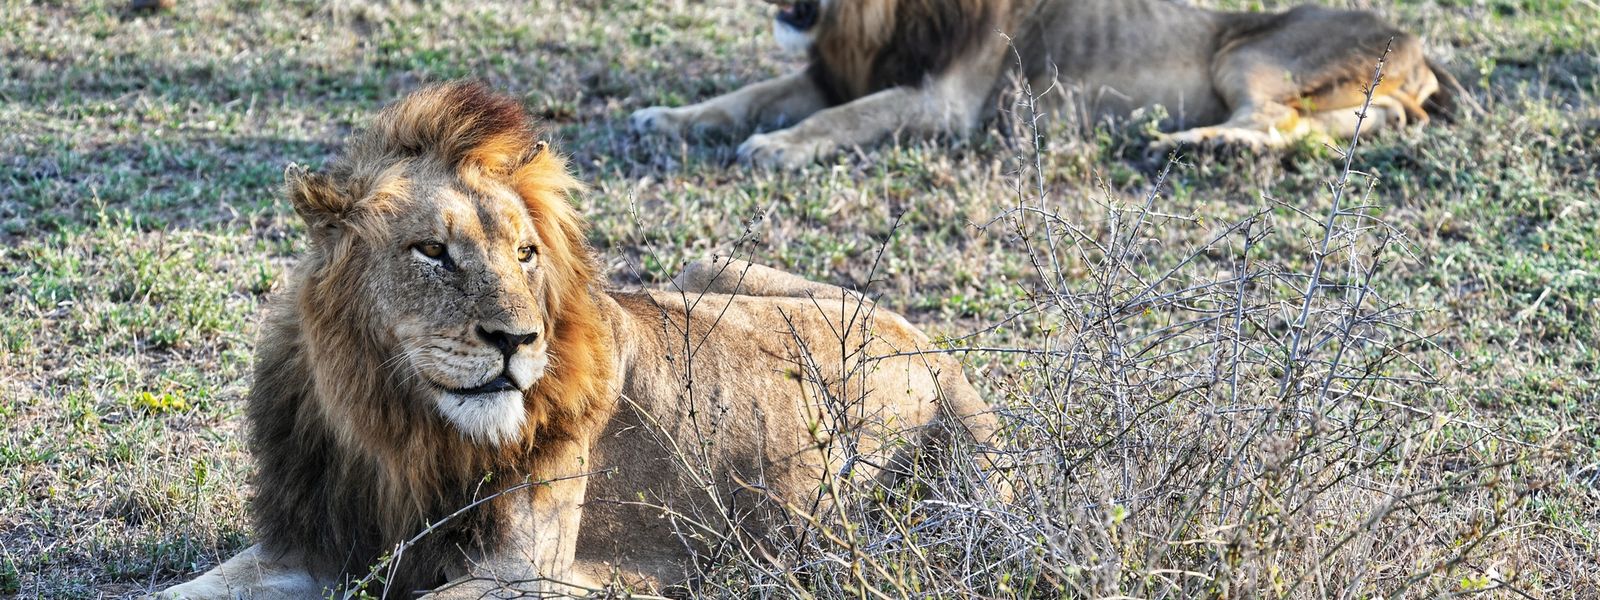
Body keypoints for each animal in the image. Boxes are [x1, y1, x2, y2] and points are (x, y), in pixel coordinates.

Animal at [149, 81, 1006, 599]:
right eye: (432, 251)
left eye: (527, 254)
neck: (393, 428)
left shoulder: (532, 572)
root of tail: (932, 348)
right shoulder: (311, 545)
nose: (517, 340)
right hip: (709, 265)